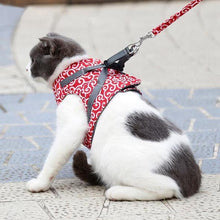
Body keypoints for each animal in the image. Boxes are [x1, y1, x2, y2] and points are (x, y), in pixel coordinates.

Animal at [25, 33, 201, 201]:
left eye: (33, 60)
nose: (26, 69)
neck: (74, 71)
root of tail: (193, 181)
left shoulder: (72, 126)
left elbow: (53, 159)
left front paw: (40, 183)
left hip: (112, 153)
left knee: (167, 188)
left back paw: (117, 191)